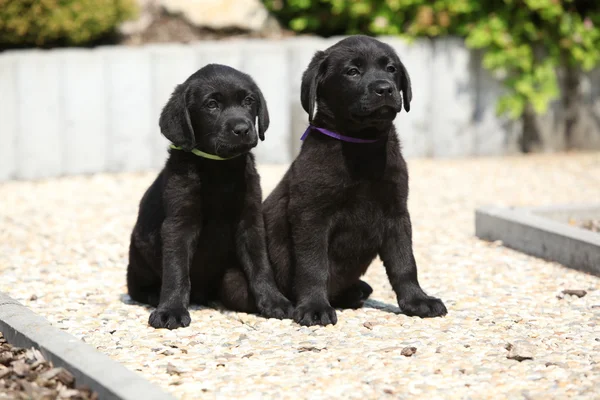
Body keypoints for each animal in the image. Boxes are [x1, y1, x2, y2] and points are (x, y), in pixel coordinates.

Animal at [128, 64, 292, 330]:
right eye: (211, 105)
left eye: (249, 101)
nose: (242, 129)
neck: (220, 169)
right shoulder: (178, 224)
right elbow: (176, 270)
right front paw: (171, 309)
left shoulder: (250, 220)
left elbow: (260, 264)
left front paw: (274, 300)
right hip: (138, 255)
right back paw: (153, 295)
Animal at [264, 36, 448, 326]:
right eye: (352, 71)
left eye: (391, 69)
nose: (384, 89)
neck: (362, 145)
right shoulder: (310, 215)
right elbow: (313, 265)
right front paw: (314, 306)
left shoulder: (396, 213)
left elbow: (404, 262)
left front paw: (417, 300)